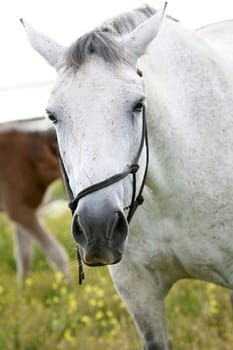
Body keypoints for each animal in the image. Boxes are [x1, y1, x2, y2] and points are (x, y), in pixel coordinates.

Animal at [0, 119, 69, 284]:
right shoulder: (18, 210)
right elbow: (57, 254)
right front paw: (73, 287)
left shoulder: (27, 211)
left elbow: (24, 259)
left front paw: (23, 291)